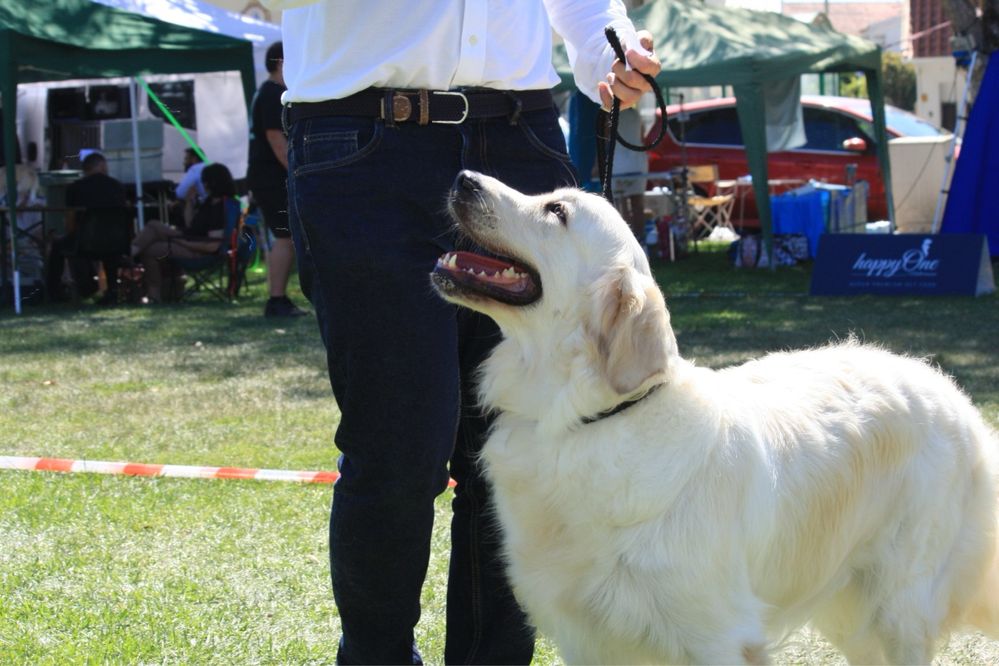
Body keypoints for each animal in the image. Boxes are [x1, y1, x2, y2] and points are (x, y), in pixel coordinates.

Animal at [430, 171, 999, 664]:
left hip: (899, 604)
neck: (583, 417)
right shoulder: (586, 637)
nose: (462, 178)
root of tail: (948, 389)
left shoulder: (717, 636)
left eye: (557, 210)